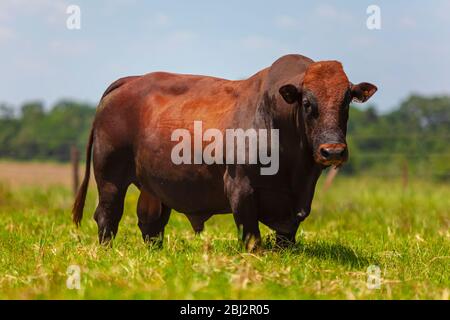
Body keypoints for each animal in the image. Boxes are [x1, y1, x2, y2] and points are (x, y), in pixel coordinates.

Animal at [73, 53, 376, 250]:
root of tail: (129, 80)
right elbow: (251, 236)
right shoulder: (240, 186)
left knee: (150, 223)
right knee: (107, 215)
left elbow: (286, 236)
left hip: (152, 186)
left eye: (346, 101)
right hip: (110, 177)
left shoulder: (297, 203)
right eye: (308, 103)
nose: (332, 151)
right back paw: (106, 251)